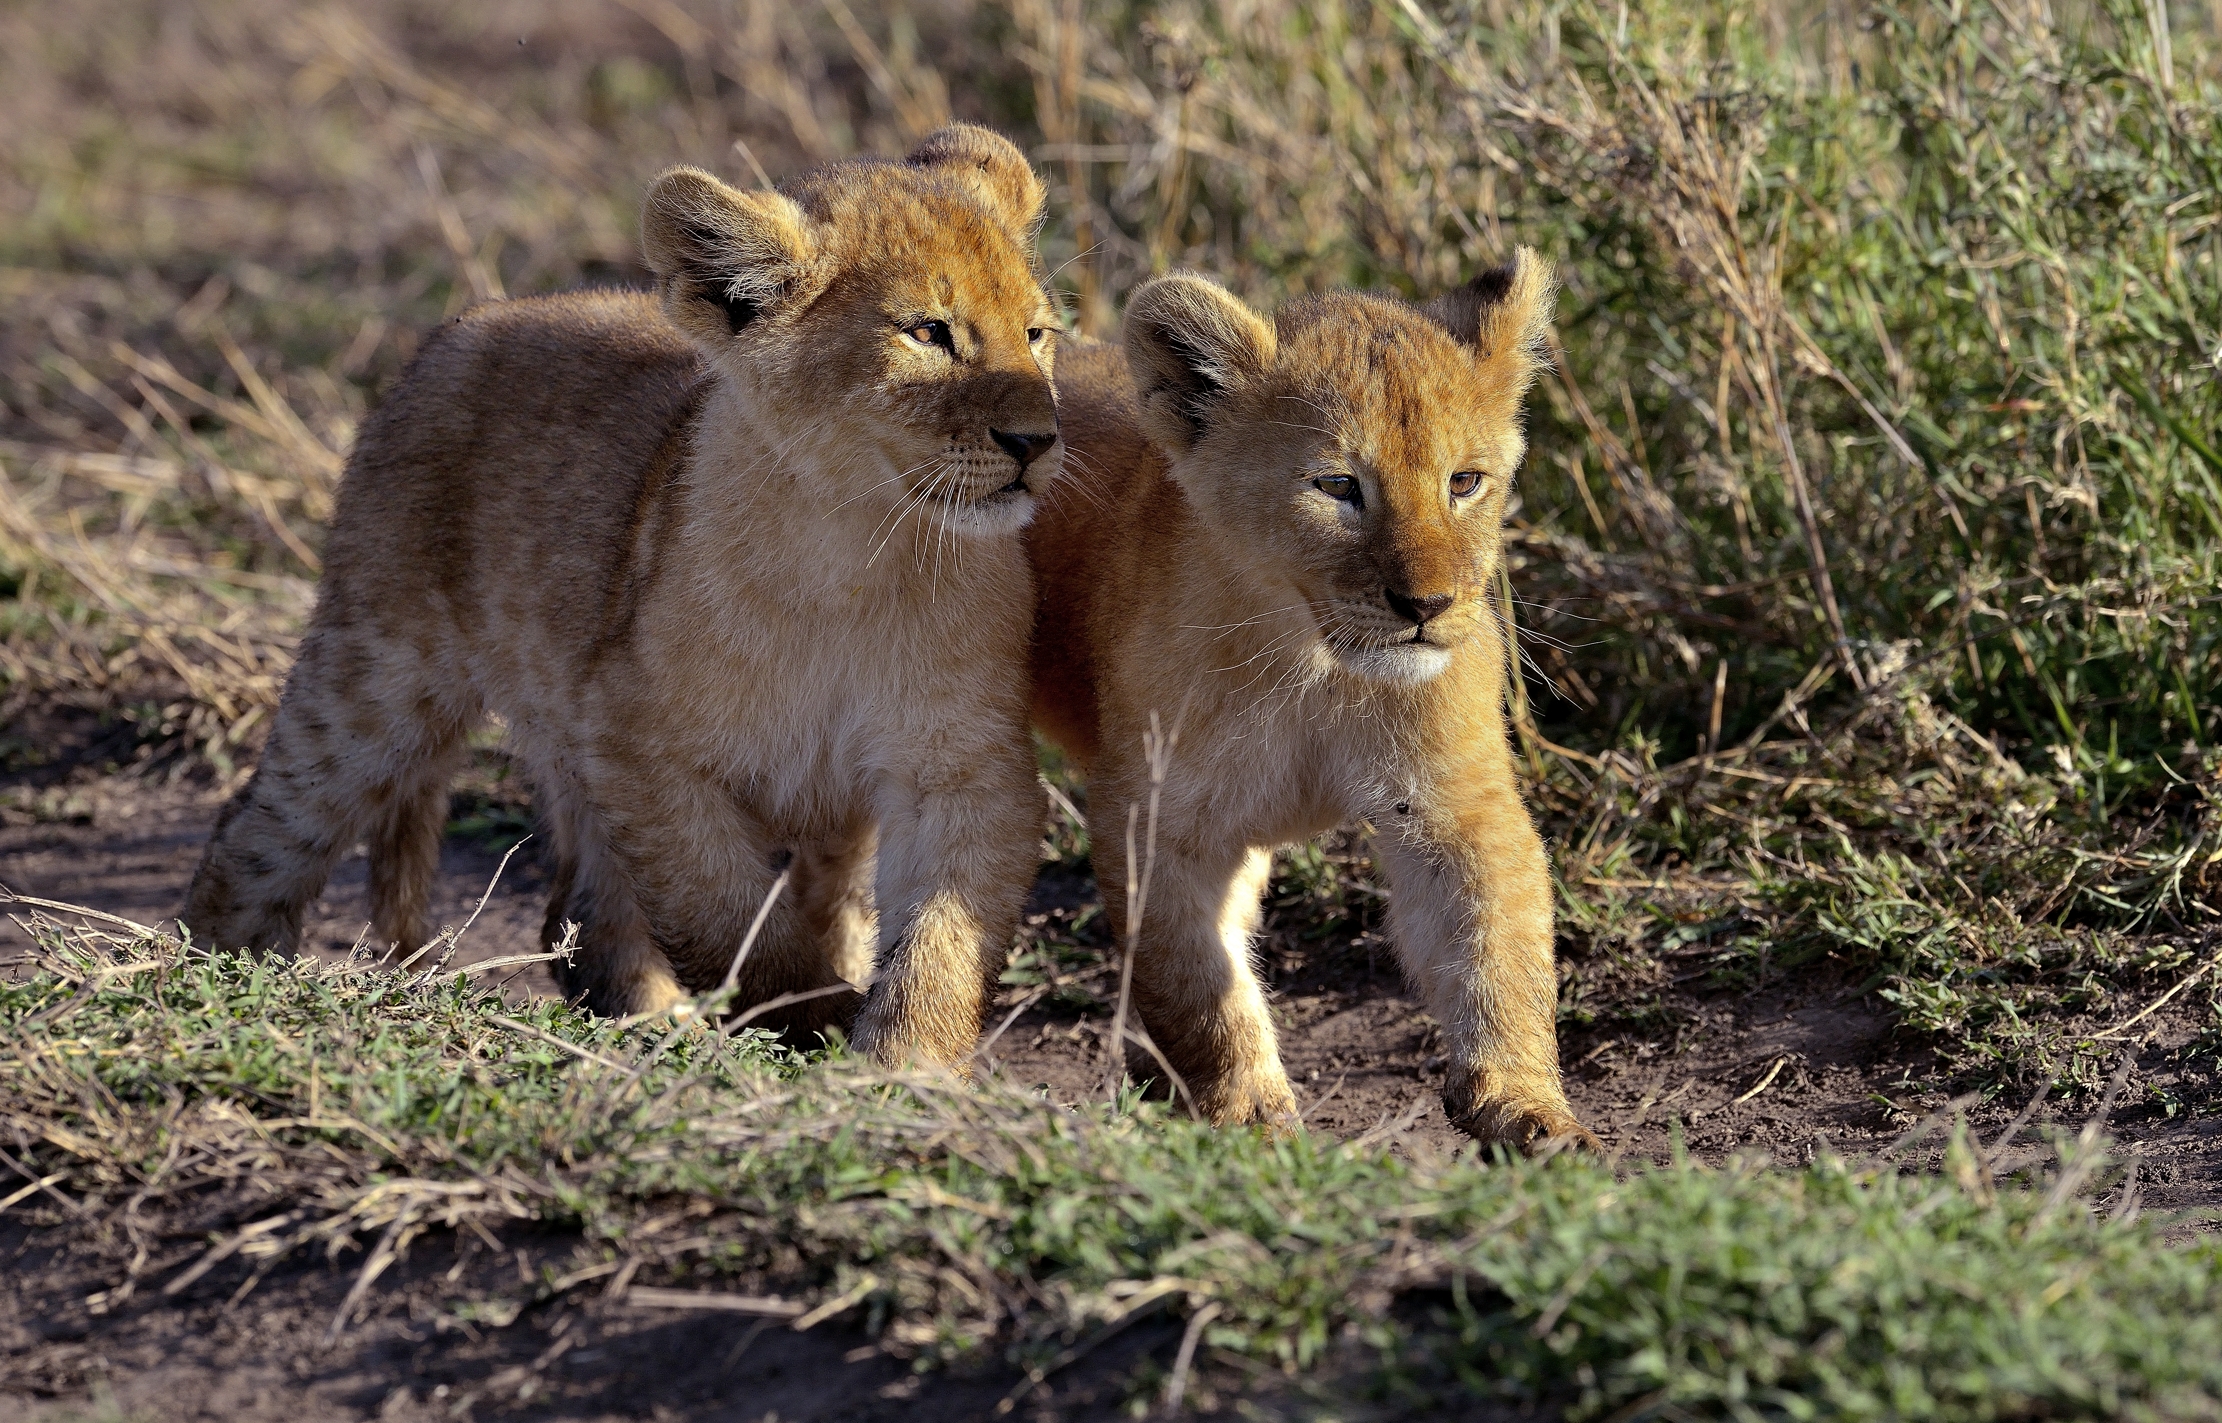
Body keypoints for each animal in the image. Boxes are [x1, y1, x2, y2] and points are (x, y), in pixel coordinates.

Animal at [183, 125, 1061, 1066]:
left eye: (1037, 333)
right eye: (928, 332)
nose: (1038, 439)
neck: (862, 544)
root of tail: (463, 326)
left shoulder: (963, 764)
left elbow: (941, 934)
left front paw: (904, 1064)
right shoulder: (637, 737)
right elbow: (727, 913)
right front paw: (810, 1014)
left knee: (590, 908)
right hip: (376, 676)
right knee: (261, 827)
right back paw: (221, 974)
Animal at [1027, 253, 1597, 1153]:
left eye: (1465, 481)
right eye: (1337, 486)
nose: (1427, 605)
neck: (1312, 662)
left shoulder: (1454, 798)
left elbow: (1497, 946)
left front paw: (1527, 1105)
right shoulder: (1152, 808)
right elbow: (1194, 978)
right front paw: (1246, 1110)